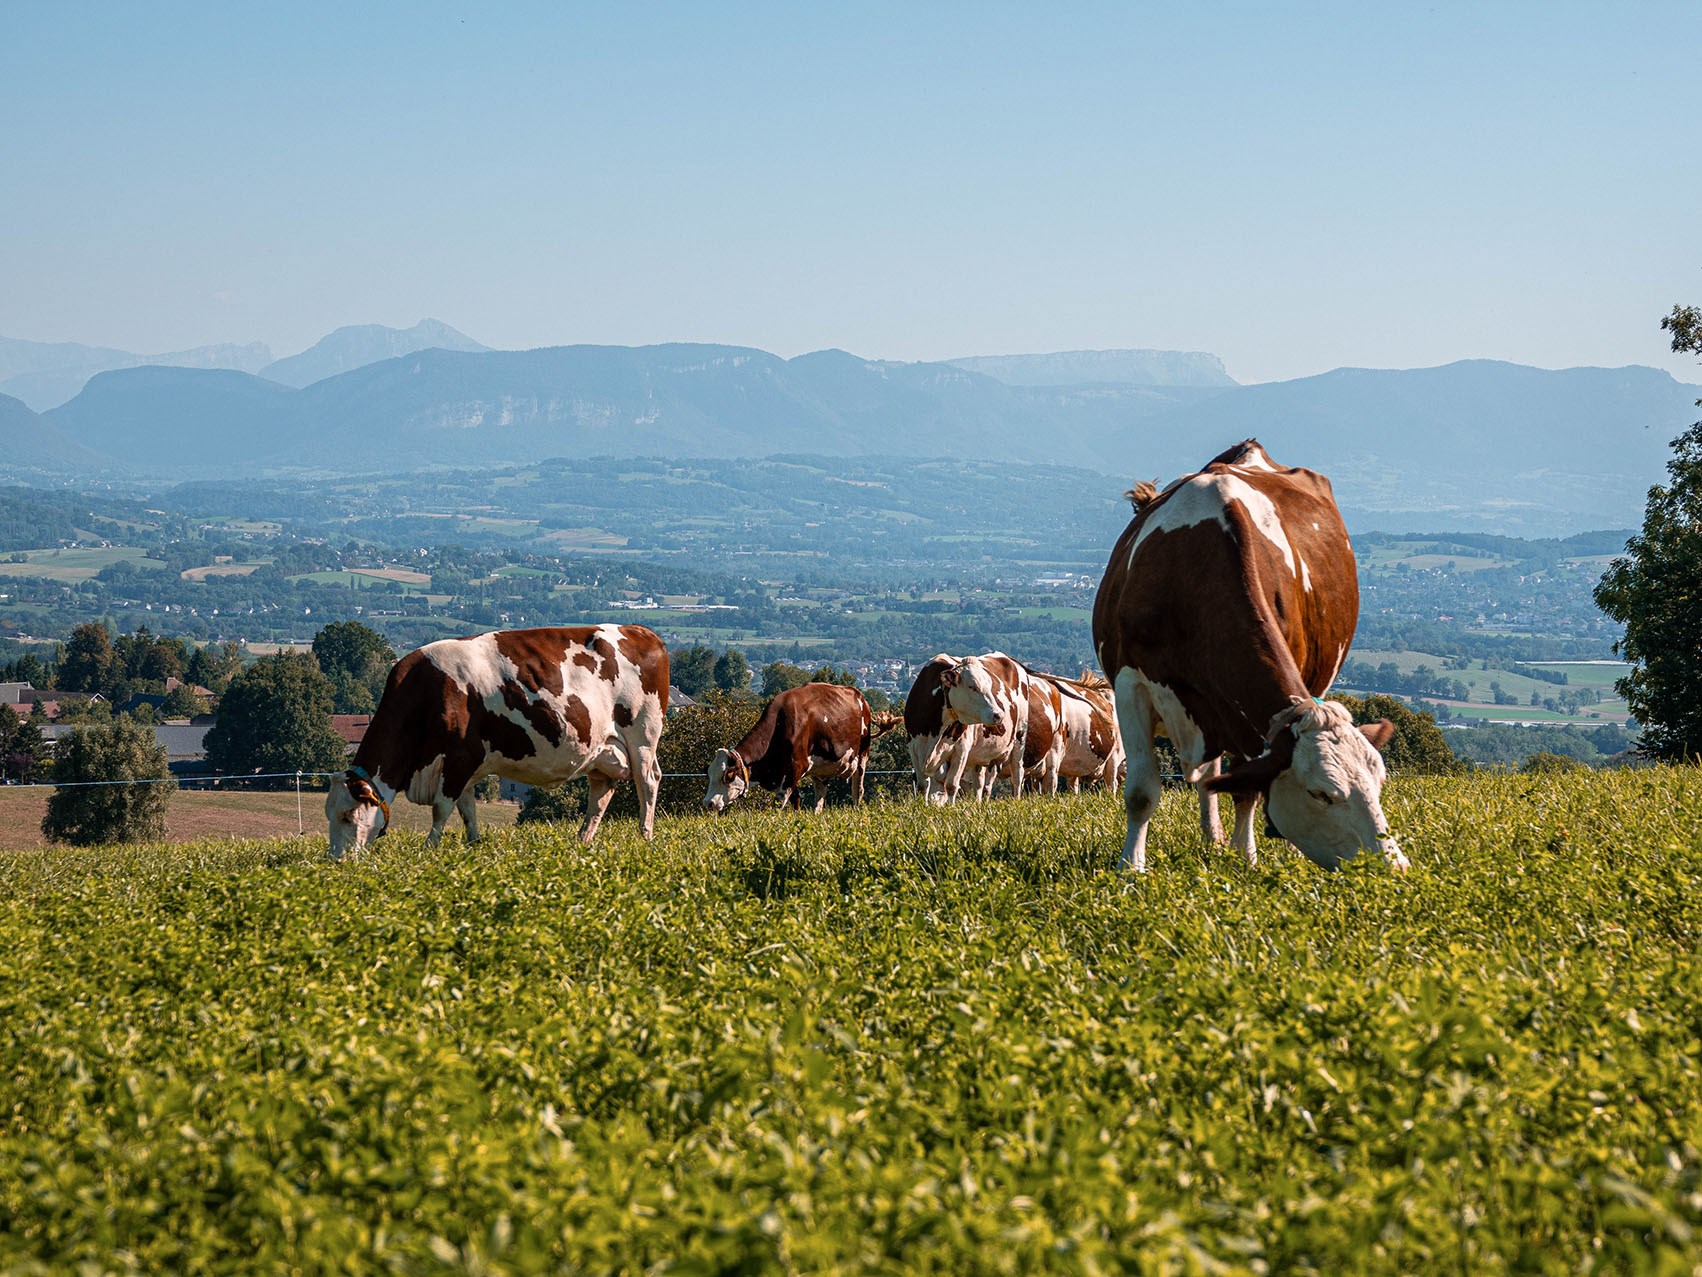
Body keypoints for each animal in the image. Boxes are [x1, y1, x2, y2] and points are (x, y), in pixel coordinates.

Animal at [325, 623, 670, 861]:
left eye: (347, 816)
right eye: (330, 815)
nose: (337, 861)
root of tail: (639, 631)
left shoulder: (459, 758)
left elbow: (441, 809)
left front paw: (429, 848)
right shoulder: (465, 766)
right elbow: (467, 810)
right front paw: (474, 844)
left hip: (643, 735)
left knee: (648, 781)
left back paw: (645, 835)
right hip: (603, 750)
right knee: (601, 793)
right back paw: (583, 839)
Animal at [704, 684, 885, 813]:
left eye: (728, 775)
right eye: (709, 774)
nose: (708, 803)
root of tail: (858, 695)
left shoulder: (797, 766)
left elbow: (780, 801)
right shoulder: (788, 772)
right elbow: (796, 800)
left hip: (862, 754)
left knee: (858, 789)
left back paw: (856, 809)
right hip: (821, 769)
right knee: (820, 796)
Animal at [1096, 446, 1402, 878]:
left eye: (1379, 783)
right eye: (1320, 794)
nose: (1395, 868)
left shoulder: (1245, 718)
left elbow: (1245, 789)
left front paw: (1246, 857)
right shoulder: (1130, 683)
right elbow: (1141, 791)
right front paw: (1131, 868)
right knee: (1207, 776)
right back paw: (1212, 837)